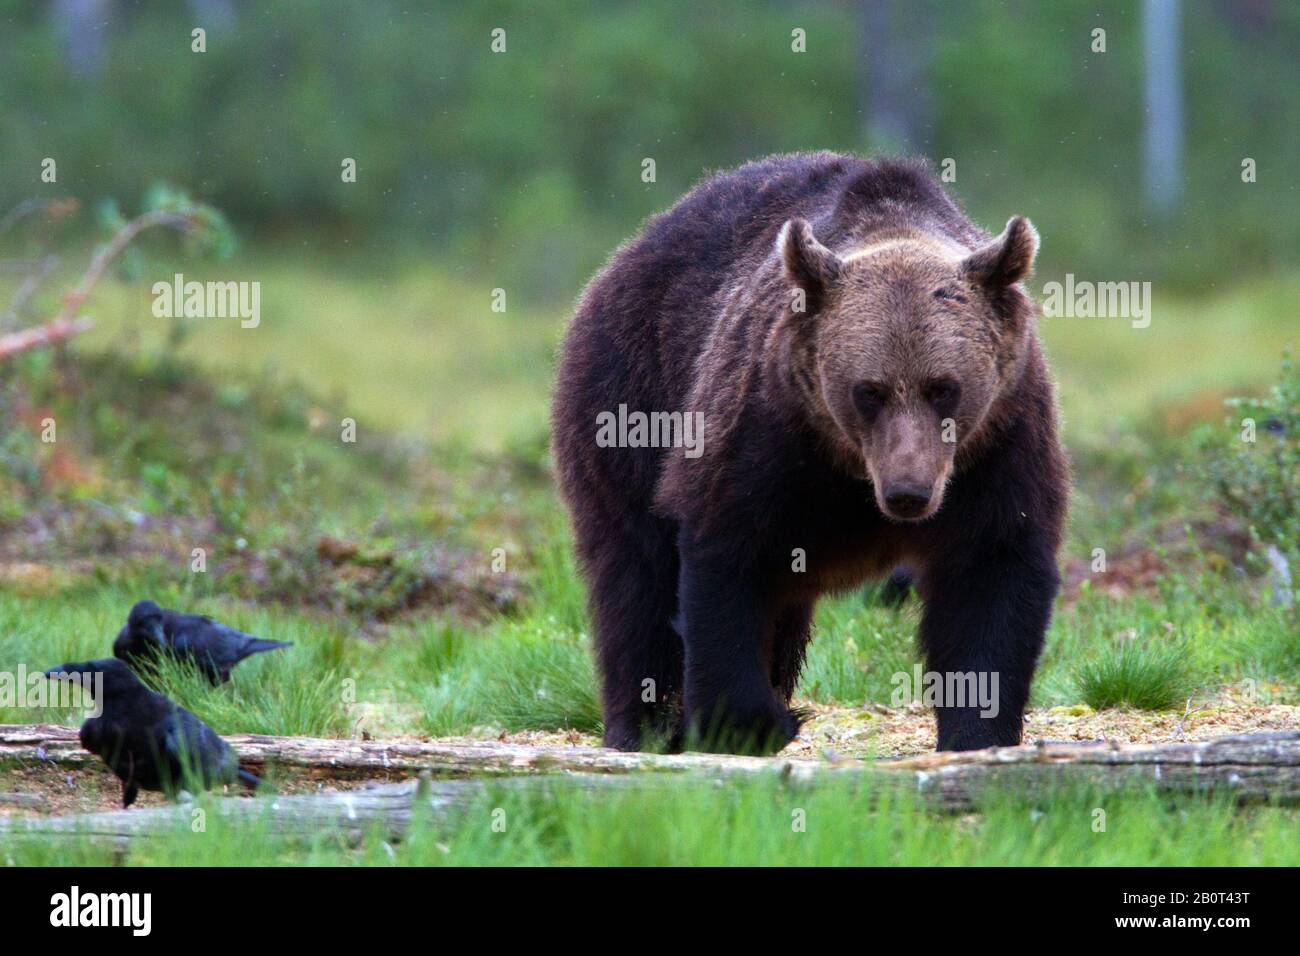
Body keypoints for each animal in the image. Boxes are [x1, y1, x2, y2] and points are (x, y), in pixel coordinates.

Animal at [552, 152, 1068, 754]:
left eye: (945, 388)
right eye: (868, 391)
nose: (908, 493)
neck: (849, 469)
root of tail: (629, 252)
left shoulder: (1000, 442)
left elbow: (991, 575)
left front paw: (976, 732)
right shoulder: (766, 432)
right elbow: (728, 560)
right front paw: (755, 723)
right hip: (628, 396)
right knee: (636, 575)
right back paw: (643, 727)